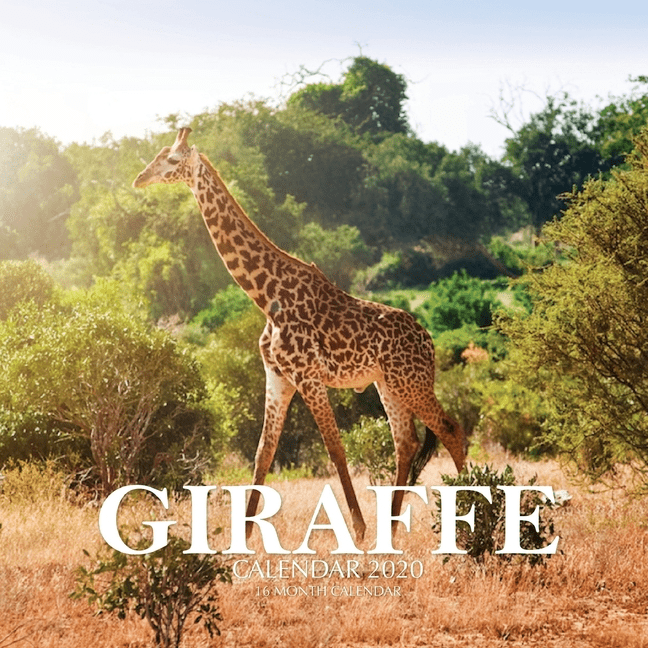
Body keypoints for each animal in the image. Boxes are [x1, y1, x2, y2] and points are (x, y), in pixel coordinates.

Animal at [133, 128, 467, 542]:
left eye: (172, 160)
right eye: (159, 153)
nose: (139, 179)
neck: (266, 297)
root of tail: (430, 342)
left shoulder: (308, 376)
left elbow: (335, 447)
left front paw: (358, 529)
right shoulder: (277, 375)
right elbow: (264, 451)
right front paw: (244, 536)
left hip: (411, 381)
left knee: (450, 429)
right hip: (387, 383)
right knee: (407, 444)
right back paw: (391, 529)